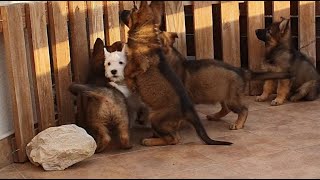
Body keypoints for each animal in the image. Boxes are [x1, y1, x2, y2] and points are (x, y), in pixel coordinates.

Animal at [122, 1, 232, 146]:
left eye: (131, 11)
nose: (122, 11)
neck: (146, 35)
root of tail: (188, 110)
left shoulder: (140, 63)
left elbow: (127, 70)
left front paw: (131, 83)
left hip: (155, 118)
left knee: (174, 139)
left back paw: (149, 141)